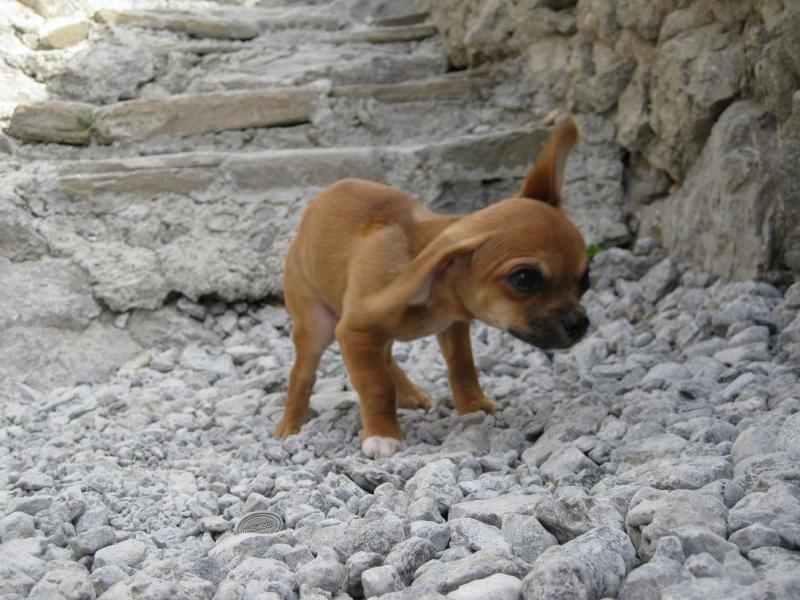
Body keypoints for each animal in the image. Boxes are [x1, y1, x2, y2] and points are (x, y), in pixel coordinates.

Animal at [275, 118, 590, 458]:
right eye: (524, 279)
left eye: (586, 280)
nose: (580, 324)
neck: (436, 293)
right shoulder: (355, 331)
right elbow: (376, 385)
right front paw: (383, 434)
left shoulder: (453, 327)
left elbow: (462, 366)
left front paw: (473, 405)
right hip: (316, 325)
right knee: (302, 373)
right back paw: (291, 423)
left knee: (387, 357)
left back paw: (409, 394)